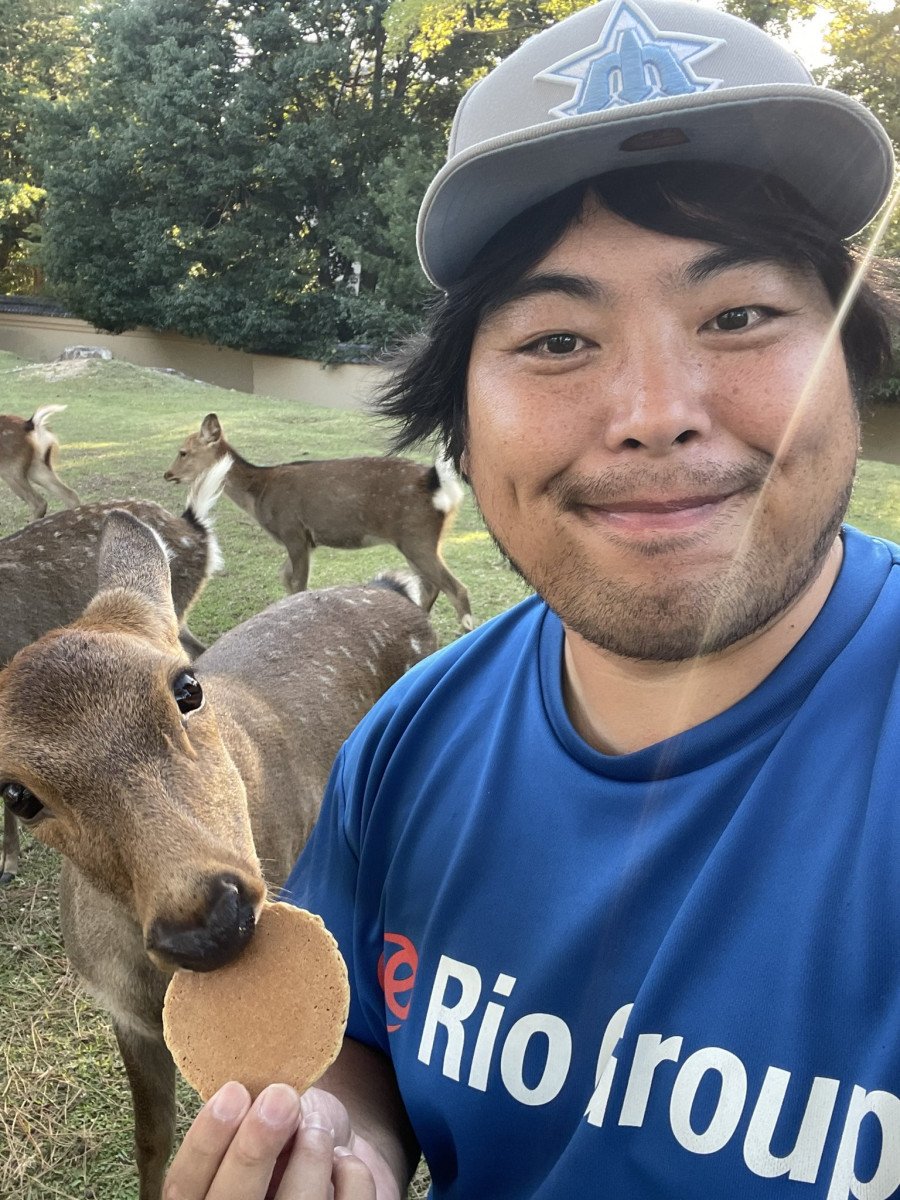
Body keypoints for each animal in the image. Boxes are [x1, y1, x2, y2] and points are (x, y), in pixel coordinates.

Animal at [0, 508, 439, 1200]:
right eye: (17, 793)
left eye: (186, 687)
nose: (207, 923)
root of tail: (393, 590)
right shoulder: (125, 1014)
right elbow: (151, 1141)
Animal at [164, 412, 475, 633]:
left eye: (183, 452)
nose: (168, 474)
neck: (260, 493)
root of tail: (437, 483)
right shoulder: (306, 541)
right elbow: (285, 576)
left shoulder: (293, 531)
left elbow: (297, 582)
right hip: (418, 541)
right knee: (432, 586)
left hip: (416, 536)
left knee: (456, 588)